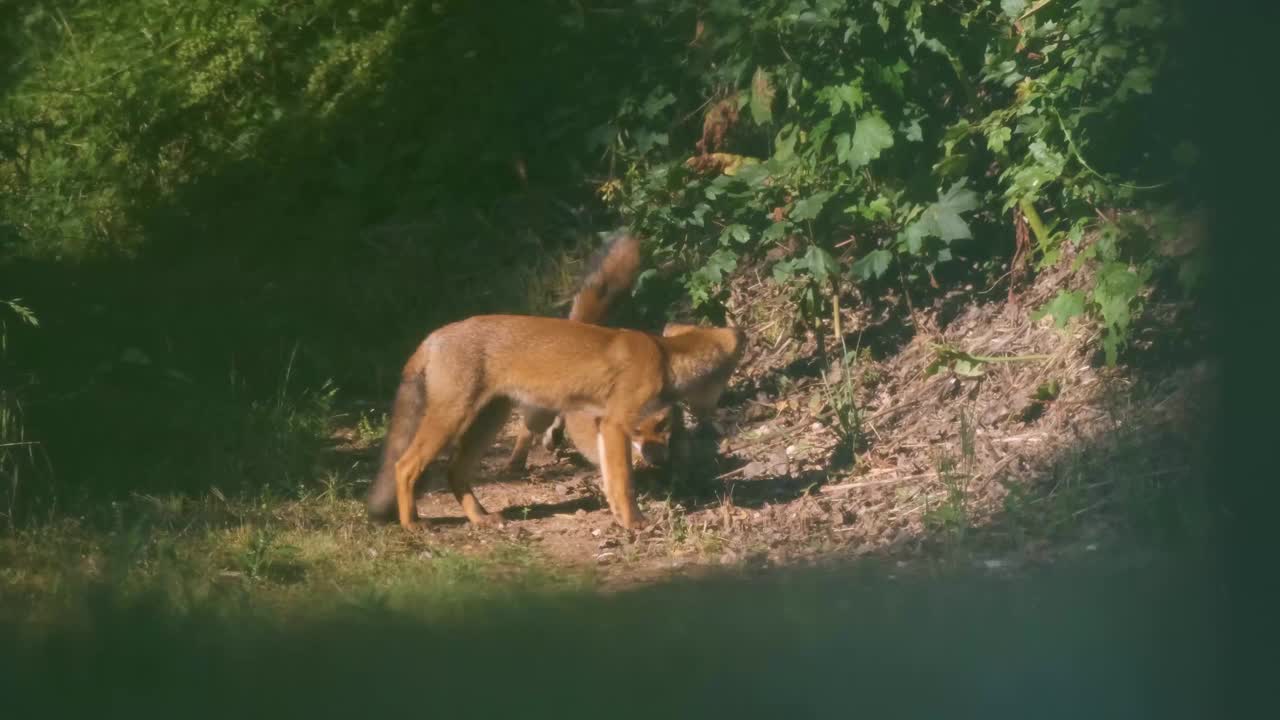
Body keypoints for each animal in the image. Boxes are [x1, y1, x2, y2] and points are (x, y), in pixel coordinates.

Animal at [504, 233, 686, 474]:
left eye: (662, 424)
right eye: (635, 431)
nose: (657, 460)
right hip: (539, 410)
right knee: (527, 431)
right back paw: (517, 461)